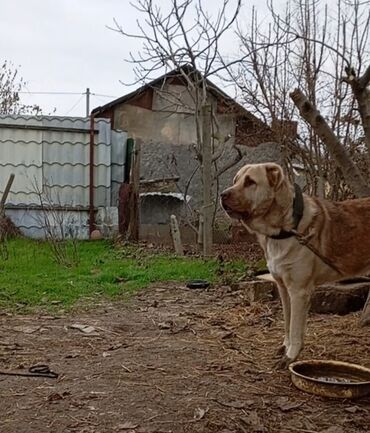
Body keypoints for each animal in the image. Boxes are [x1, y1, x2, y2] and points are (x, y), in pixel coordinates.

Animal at [220, 164, 370, 366]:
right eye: (235, 180)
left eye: (250, 182)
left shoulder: (298, 291)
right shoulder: (283, 288)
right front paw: (286, 347)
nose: (222, 195)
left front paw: (291, 355)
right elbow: (288, 322)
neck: (285, 229)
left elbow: (295, 327)